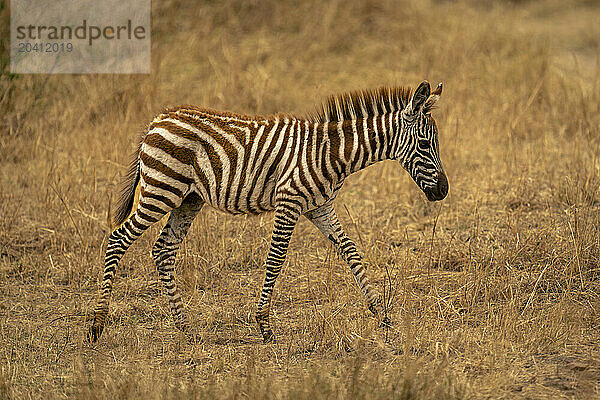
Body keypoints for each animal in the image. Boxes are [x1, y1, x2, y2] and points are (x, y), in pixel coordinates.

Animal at [88, 80, 446, 344]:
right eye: (425, 145)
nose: (443, 191)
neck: (332, 154)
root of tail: (157, 120)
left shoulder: (320, 207)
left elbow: (351, 251)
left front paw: (380, 313)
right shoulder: (289, 201)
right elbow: (276, 259)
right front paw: (264, 326)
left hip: (188, 198)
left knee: (164, 250)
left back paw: (184, 327)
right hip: (161, 190)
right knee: (118, 239)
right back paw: (97, 325)